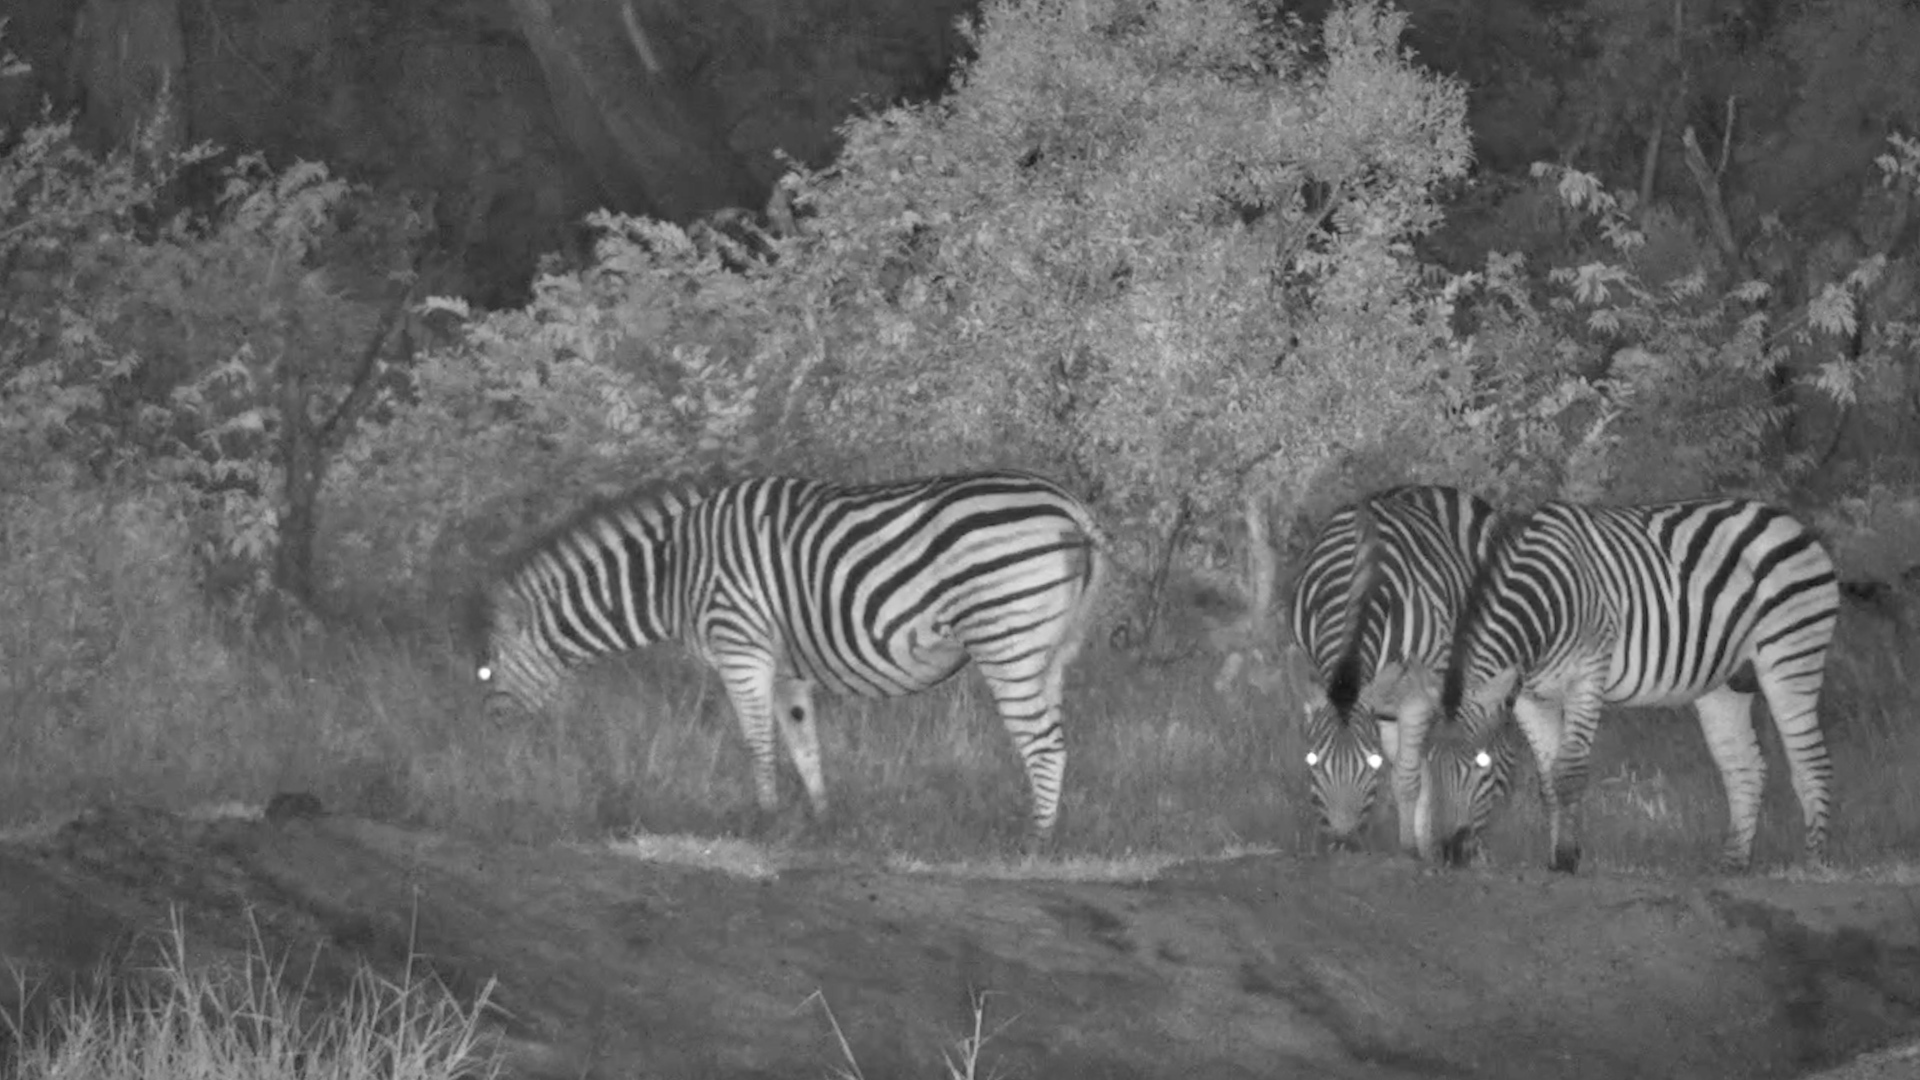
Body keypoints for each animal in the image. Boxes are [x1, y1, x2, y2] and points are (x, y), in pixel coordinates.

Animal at [473, 470, 1110, 847]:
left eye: (490, 664)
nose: (495, 734)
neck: (674, 570)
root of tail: (1072, 509)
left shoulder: (740, 646)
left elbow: (757, 741)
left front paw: (765, 821)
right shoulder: (785, 667)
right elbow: (804, 744)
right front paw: (821, 823)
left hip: (1007, 638)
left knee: (1043, 744)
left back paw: (1035, 841)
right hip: (1054, 649)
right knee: (1054, 738)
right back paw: (1047, 831)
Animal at [1287, 484, 1510, 856]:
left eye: (1371, 763)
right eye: (1312, 761)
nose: (1343, 844)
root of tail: (1427, 487)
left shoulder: (1415, 698)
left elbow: (1407, 776)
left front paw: (1410, 848)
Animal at [1431, 497, 1839, 873]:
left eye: (1482, 765)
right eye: (1429, 766)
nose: (1450, 854)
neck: (1544, 600)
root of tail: (1785, 518)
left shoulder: (1588, 677)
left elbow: (1568, 773)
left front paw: (1567, 859)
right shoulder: (1530, 698)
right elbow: (1547, 781)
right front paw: (1557, 855)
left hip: (1791, 657)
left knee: (1812, 763)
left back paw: (1814, 865)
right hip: (1726, 684)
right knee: (1744, 767)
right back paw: (1733, 863)